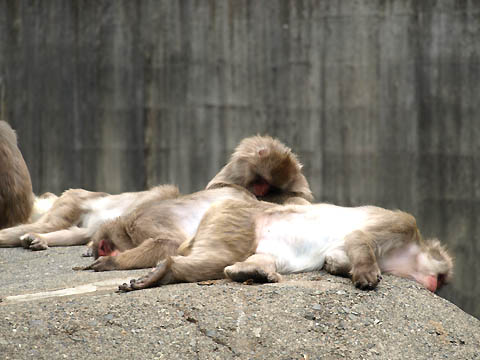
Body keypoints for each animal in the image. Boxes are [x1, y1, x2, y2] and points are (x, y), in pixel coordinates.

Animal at [81, 135, 316, 270]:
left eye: (104, 248)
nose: (105, 253)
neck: (127, 229)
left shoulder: (142, 224)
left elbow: (169, 243)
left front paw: (112, 262)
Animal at [120, 198, 454, 294]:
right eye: (441, 278)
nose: (434, 285)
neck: (407, 251)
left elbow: (336, 254)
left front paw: (339, 266)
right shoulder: (402, 223)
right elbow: (360, 238)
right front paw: (367, 274)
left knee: (243, 260)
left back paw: (250, 271)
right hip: (233, 220)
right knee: (218, 256)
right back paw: (165, 271)